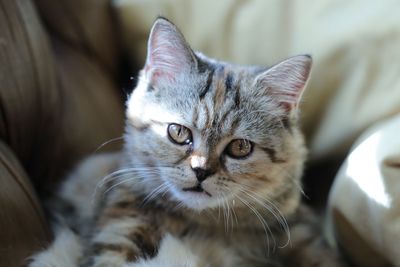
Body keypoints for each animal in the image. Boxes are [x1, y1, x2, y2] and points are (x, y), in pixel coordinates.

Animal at [29, 17, 346, 267]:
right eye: (178, 132)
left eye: (240, 147)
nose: (201, 171)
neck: (203, 224)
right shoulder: (121, 224)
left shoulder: (301, 231)